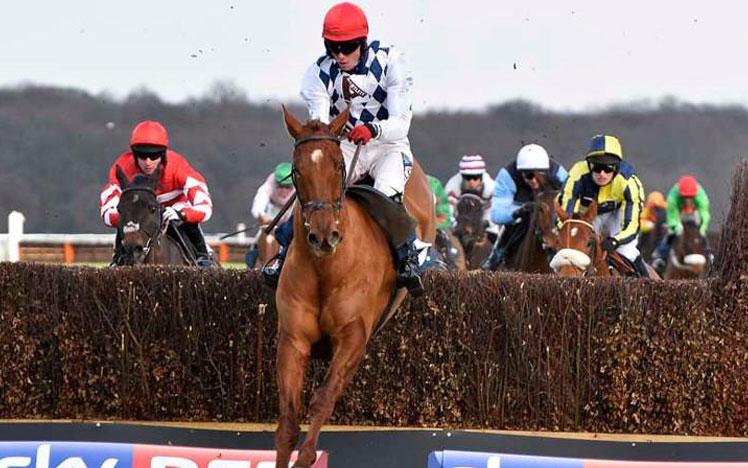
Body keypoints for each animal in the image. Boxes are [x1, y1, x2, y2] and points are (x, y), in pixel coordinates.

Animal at [274, 107, 436, 468]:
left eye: (338, 165)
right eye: (296, 170)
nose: (323, 236)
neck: (326, 269)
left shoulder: (353, 337)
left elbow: (322, 399)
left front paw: (307, 457)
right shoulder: (293, 339)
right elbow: (288, 420)